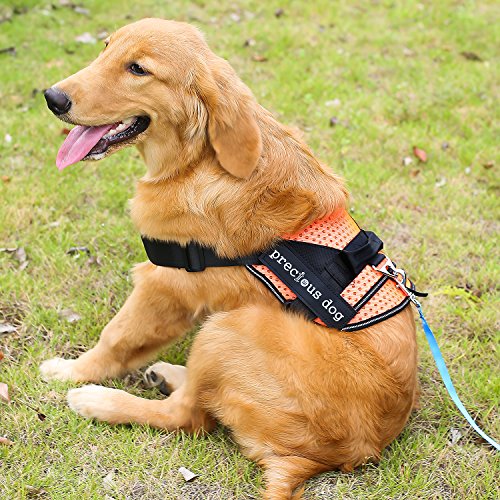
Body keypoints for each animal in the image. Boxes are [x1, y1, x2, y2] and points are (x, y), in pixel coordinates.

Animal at [41, 18, 418, 499]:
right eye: (106, 48)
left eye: (138, 69)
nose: (53, 97)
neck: (200, 161)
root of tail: (322, 460)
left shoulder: (163, 286)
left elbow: (116, 339)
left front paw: (73, 372)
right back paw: (169, 373)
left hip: (229, 327)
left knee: (187, 418)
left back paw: (98, 400)